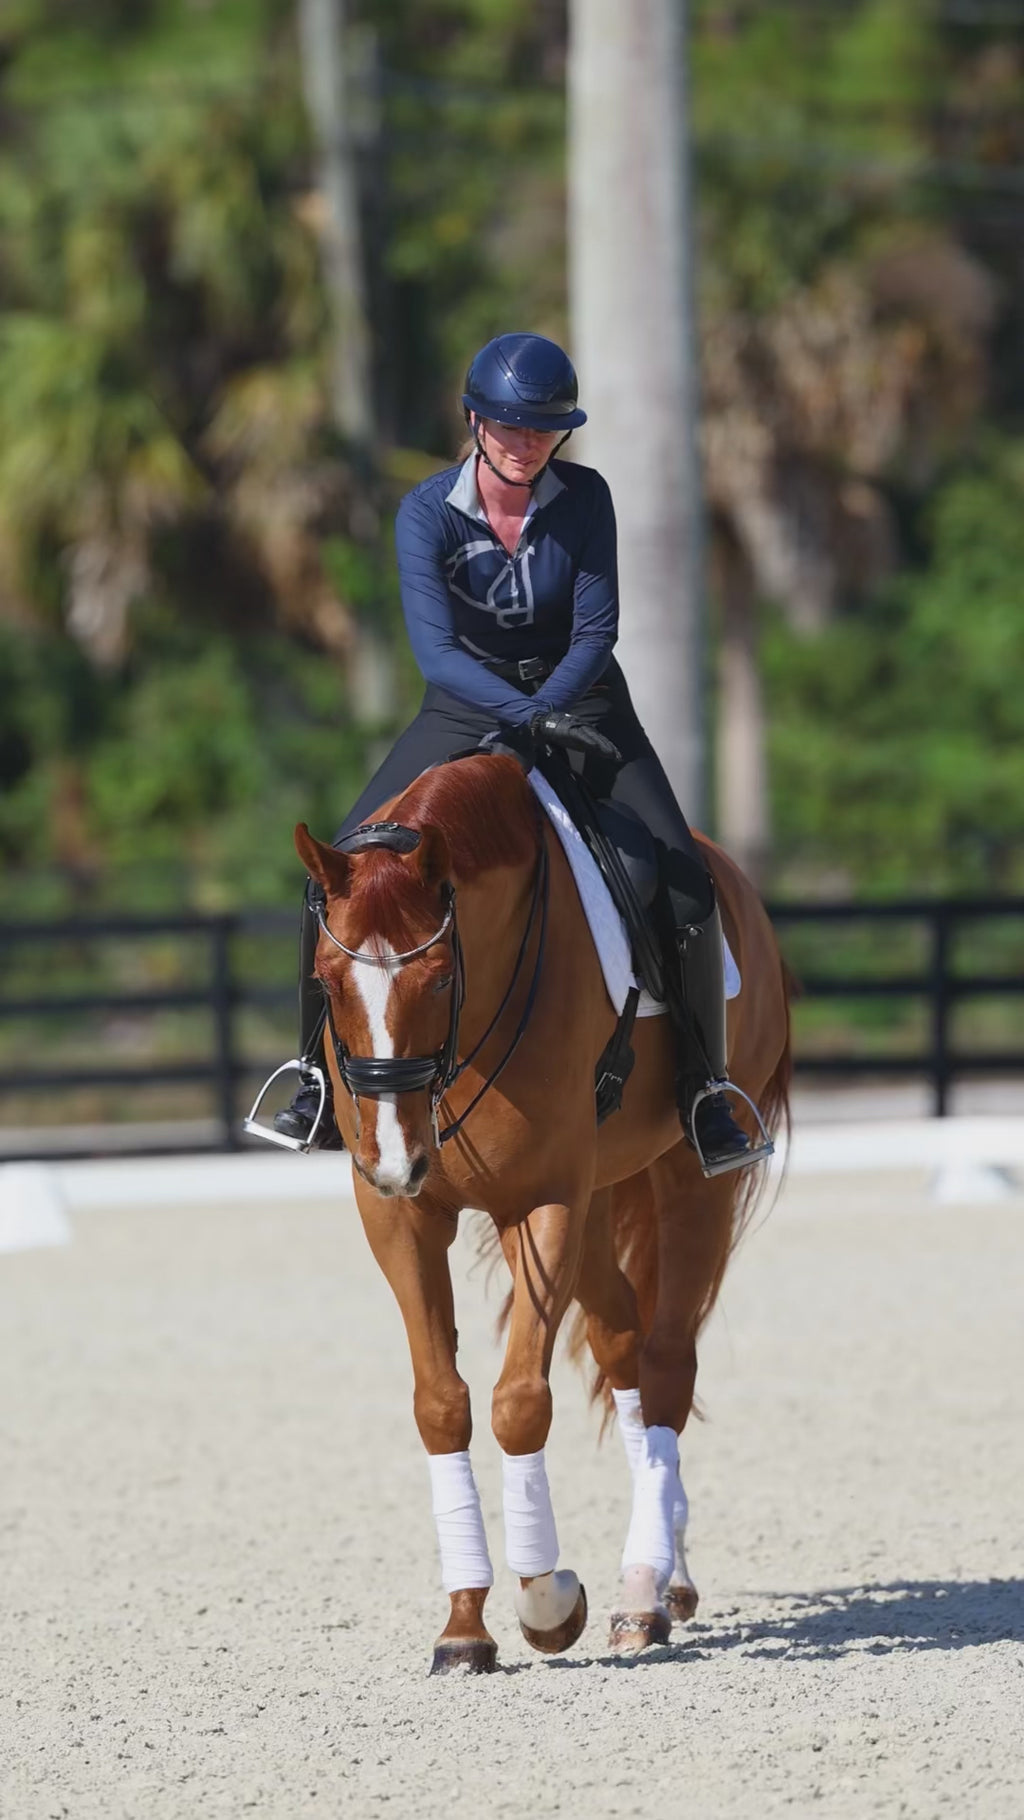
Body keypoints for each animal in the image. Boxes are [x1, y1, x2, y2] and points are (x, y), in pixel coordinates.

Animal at [294, 750, 791, 1672]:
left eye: (440, 977)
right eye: (326, 980)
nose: (396, 1159)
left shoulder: (546, 1201)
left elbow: (520, 1401)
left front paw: (546, 1601)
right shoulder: (401, 1219)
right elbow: (441, 1402)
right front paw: (463, 1624)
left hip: (692, 1180)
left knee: (667, 1364)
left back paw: (641, 1592)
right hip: (596, 1205)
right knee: (625, 1348)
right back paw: (663, 1575)